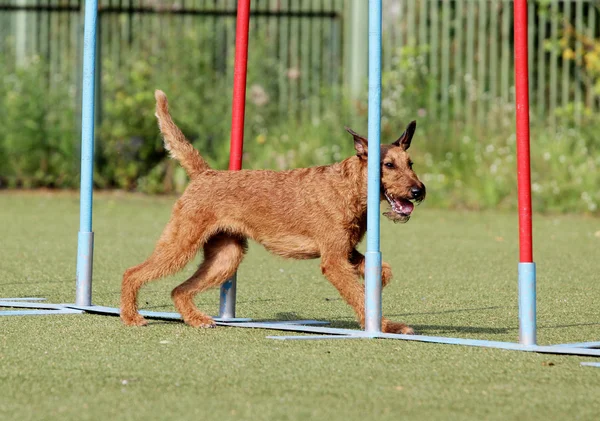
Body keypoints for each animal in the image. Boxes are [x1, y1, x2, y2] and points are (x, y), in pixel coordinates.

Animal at [119, 90, 424, 334]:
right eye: (388, 165)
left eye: (410, 163)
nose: (419, 191)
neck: (348, 187)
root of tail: (205, 173)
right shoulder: (334, 260)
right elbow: (358, 295)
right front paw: (382, 326)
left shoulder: (347, 252)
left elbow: (381, 271)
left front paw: (382, 307)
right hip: (181, 243)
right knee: (132, 273)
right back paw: (131, 317)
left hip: (225, 257)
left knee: (179, 289)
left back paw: (197, 319)